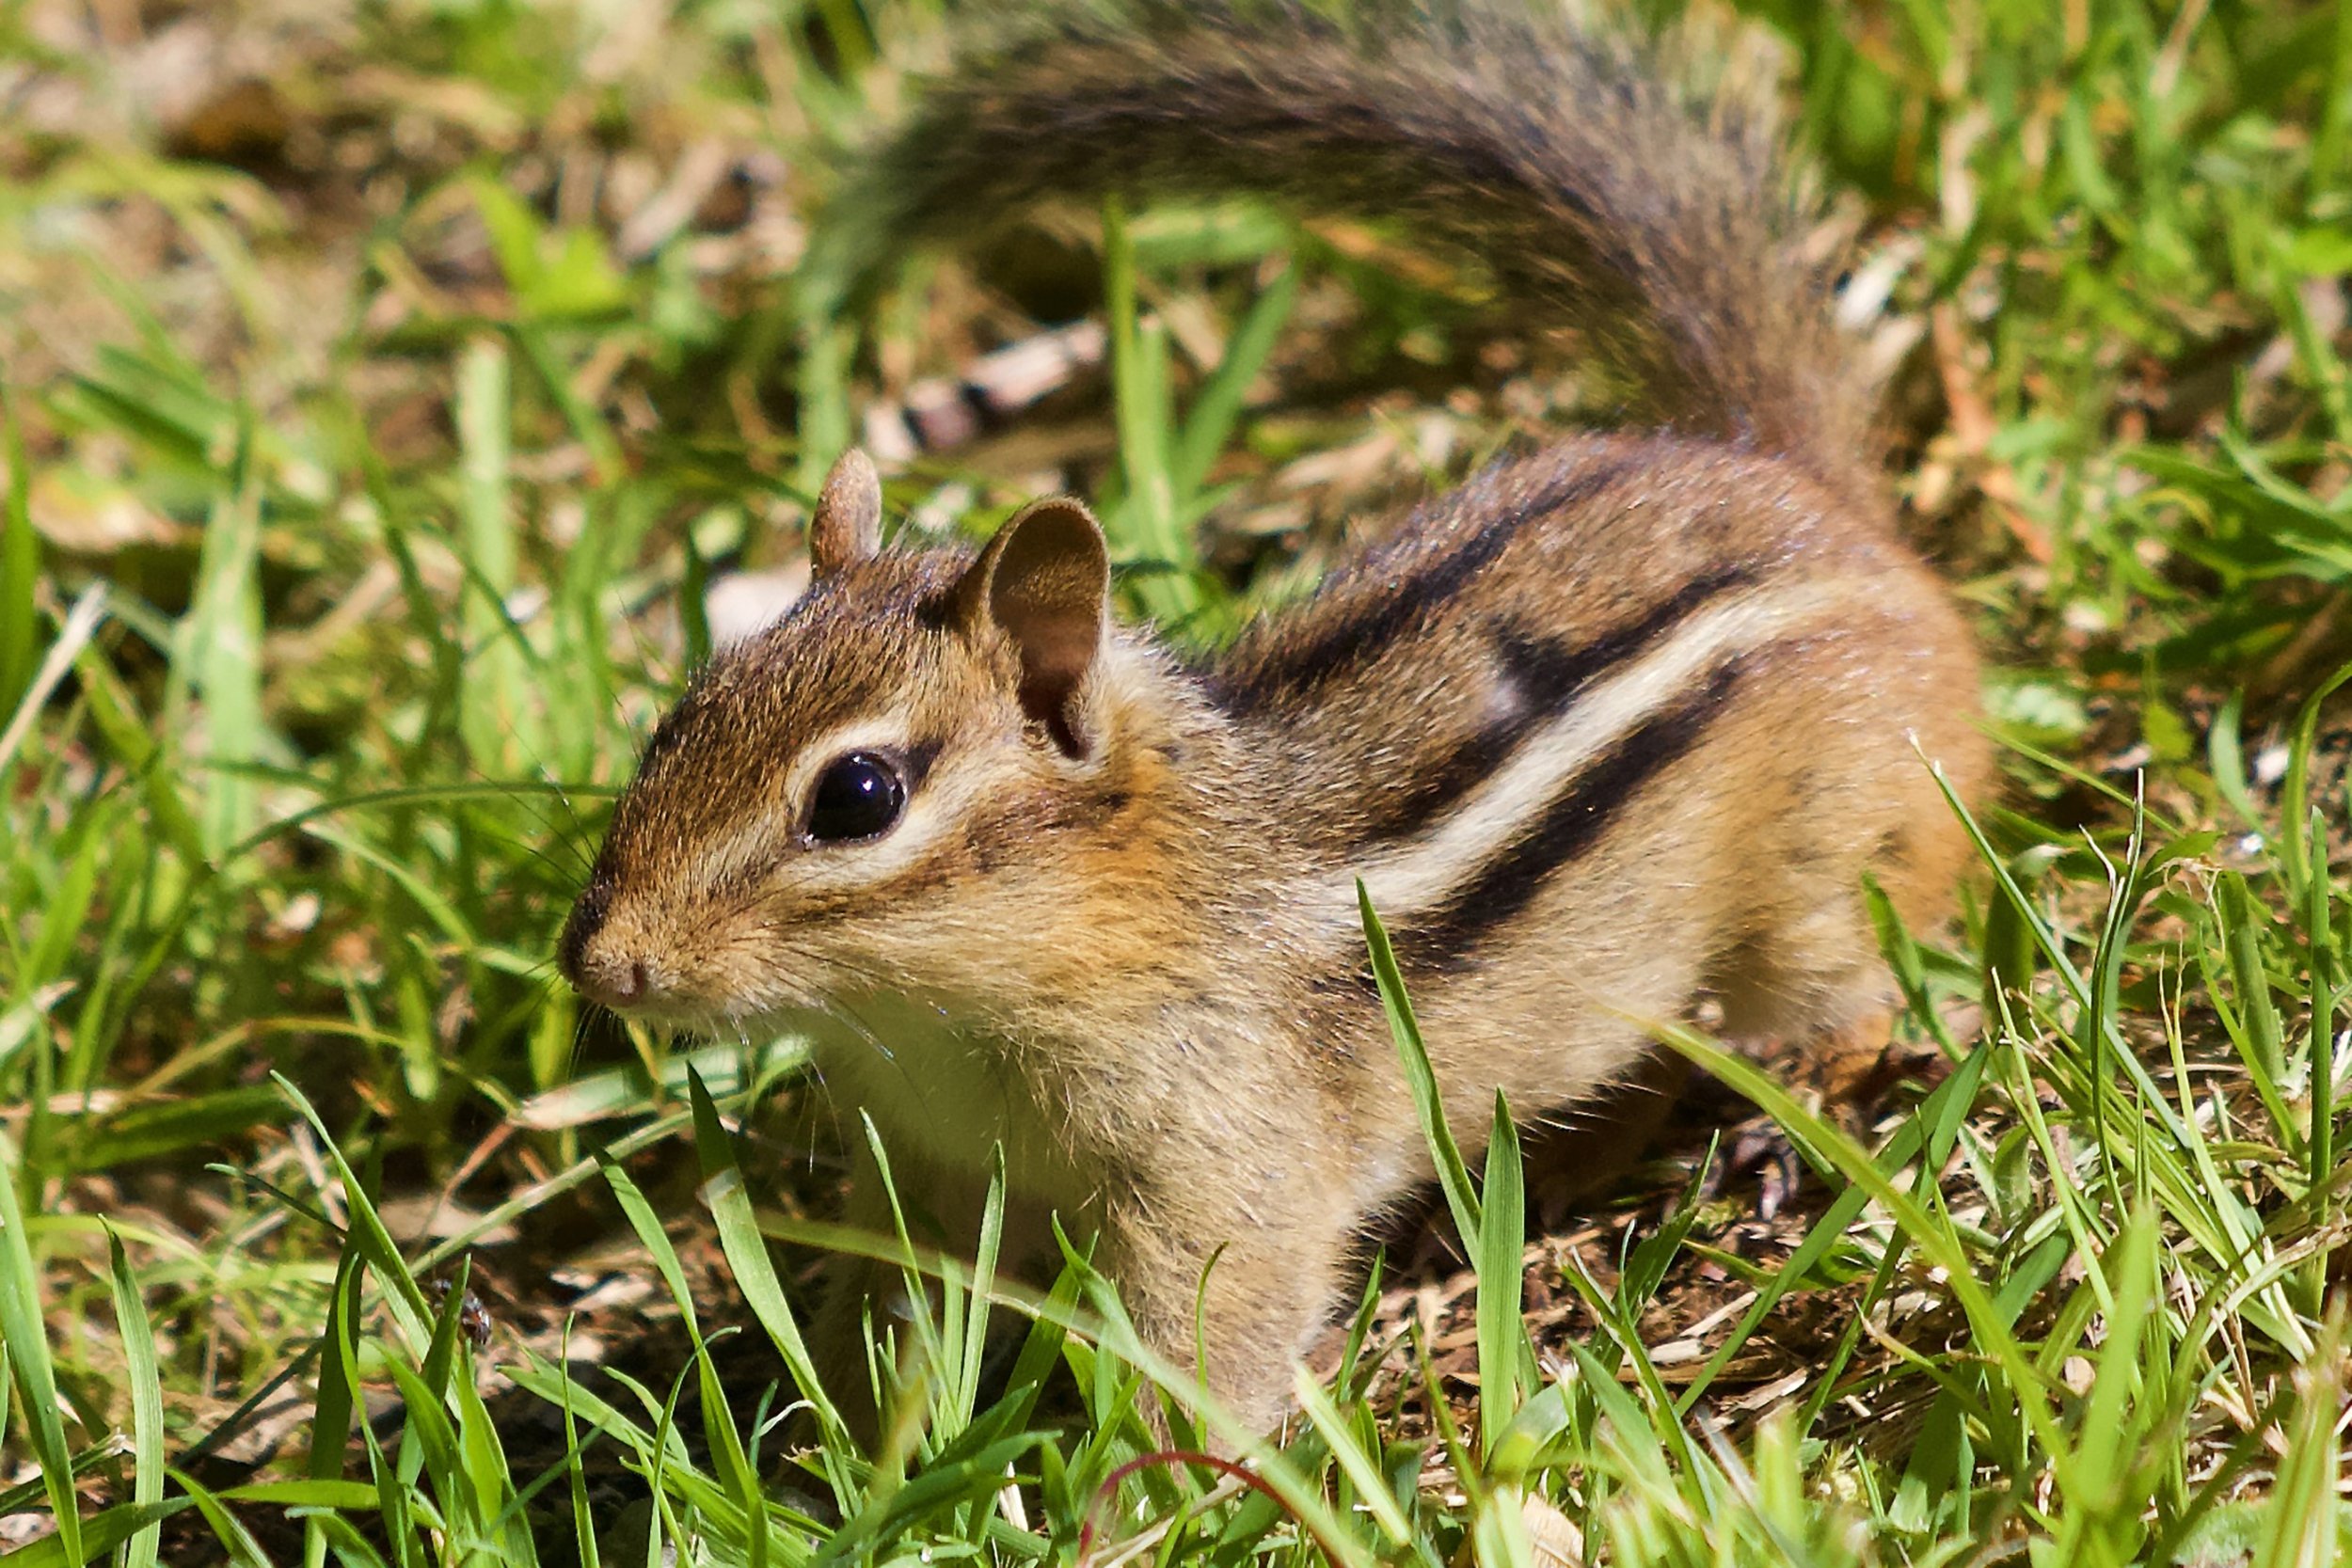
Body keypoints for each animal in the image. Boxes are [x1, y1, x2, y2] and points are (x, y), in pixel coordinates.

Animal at [557, 1, 1991, 1438]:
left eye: (857, 797)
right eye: (673, 721)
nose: (601, 965)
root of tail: (1802, 481)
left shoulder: (1227, 1165)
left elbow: (1209, 1336)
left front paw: (1141, 1478)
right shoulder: (921, 1157)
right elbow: (895, 1318)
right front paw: (854, 1443)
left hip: (1813, 894)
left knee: (1850, 994)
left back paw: (1781, 1114)